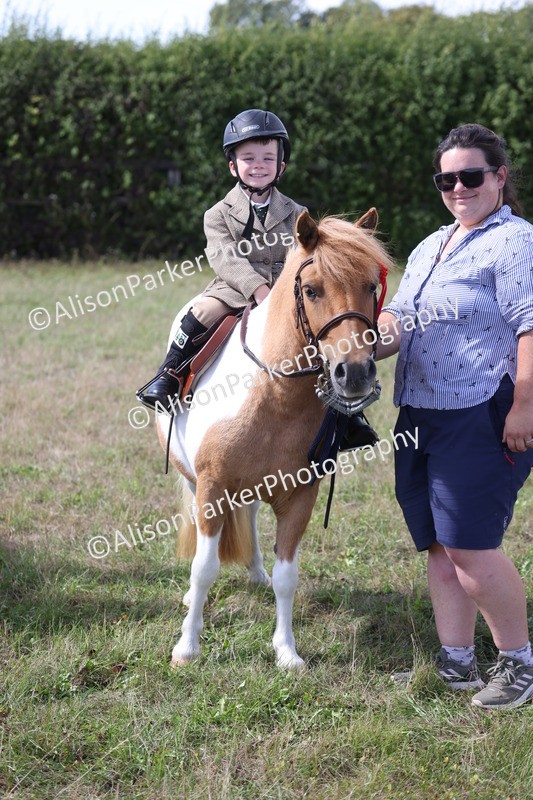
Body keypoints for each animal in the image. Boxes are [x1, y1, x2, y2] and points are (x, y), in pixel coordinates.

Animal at [156, 209, 393, 670]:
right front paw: (187, 647)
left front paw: (286, 651)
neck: (274, 395)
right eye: (312, 289)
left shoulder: (300, 497)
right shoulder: (211, 489)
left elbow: (288, 577)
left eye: (371, 286)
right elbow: (203, 568)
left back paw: (256, 573)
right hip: (193, 480)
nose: (355, 373)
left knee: (248, 517)